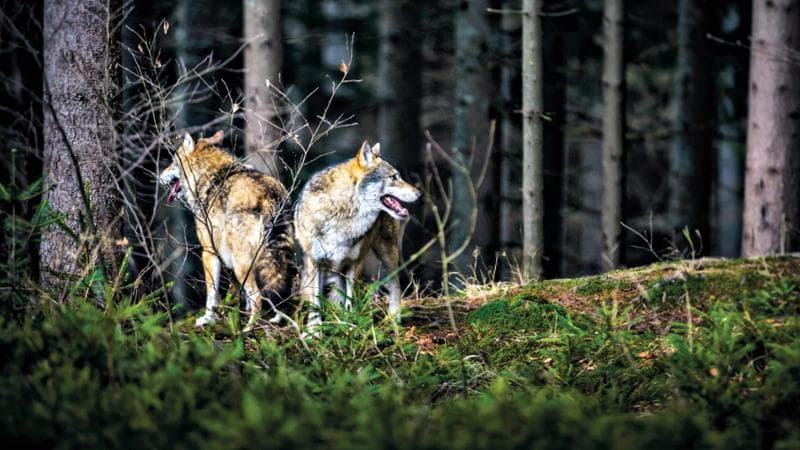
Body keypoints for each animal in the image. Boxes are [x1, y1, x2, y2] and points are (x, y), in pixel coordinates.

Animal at [159, 131, 295, 330]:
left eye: (173, 161)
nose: (159, 176)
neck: (206, 175)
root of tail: (271, 196)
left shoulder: (208, 252)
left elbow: (212, 295)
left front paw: (207, 319)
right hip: (279, 261)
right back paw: (277, 320)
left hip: (242, 266)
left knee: (257, 297)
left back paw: (247, 329)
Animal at [294, 141, 421, 331]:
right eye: (393, 177)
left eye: (398, 176)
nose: (420, 194)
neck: (342, 213)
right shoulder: (314, 261)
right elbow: (316, 302)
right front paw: (314, 331)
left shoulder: (354, 263)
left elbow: (350, 300)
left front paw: (349, 326)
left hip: (387, 252)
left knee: (395, 284)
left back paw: (394, 318)